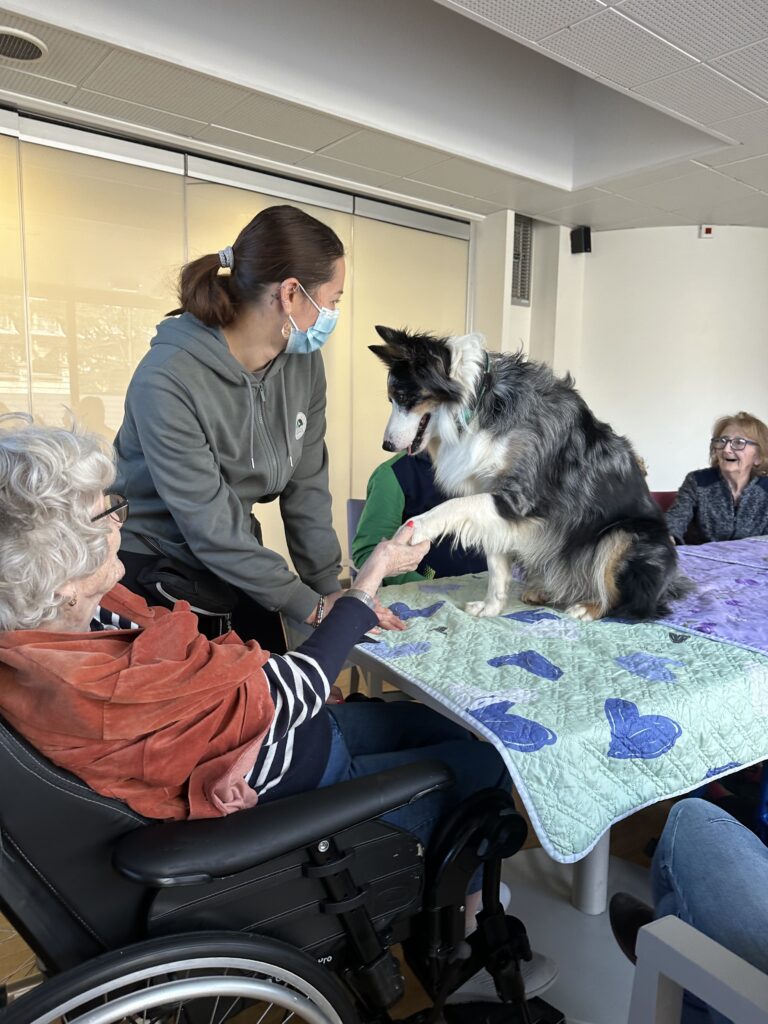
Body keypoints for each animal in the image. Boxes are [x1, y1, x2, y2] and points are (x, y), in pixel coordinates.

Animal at [370, 325, 687, 622]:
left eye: (402, 396)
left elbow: (452, 506)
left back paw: (589, 606)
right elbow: (496, 564)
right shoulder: (494, 503)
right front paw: (491, 607)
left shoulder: (520, 496)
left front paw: (414, 529)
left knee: (627, 599)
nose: (386, 445)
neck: (480, 399)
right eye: (390, 399)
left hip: (625, 535)